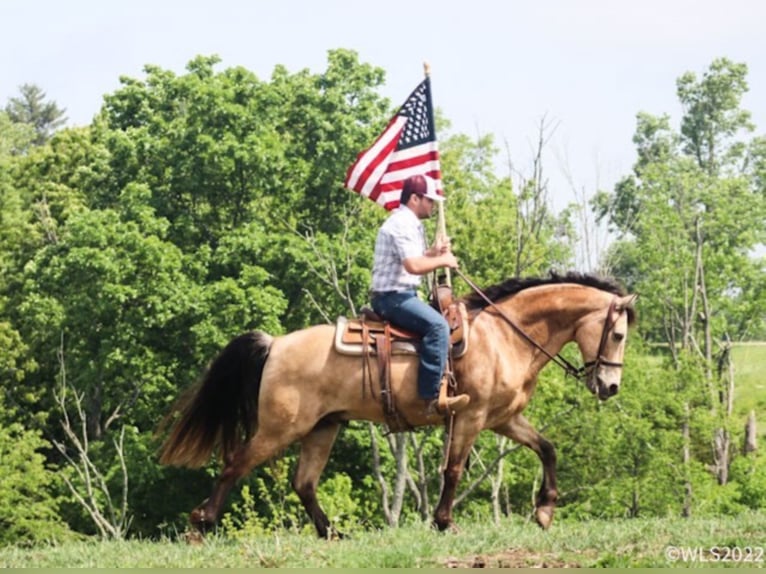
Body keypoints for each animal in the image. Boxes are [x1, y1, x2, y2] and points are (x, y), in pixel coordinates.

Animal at [159, 272, 640, 536]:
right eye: (617, 334)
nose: (610, 386)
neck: (505, 335)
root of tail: (275, 344)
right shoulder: (470, 417)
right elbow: (453, 469)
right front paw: (444, 521)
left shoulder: (503, 419)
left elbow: (547, 448)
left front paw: (543, 510)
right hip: (281, 428)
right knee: (235, 464)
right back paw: (202, 522)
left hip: (323, 427)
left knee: (304, 483)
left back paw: (331, 532)